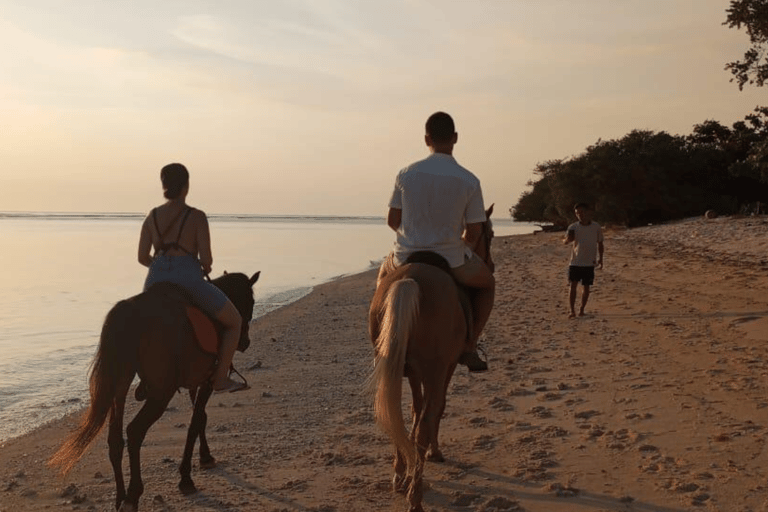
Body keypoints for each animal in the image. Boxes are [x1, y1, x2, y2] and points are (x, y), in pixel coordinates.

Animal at [51, 270, 260, 510]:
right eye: (251, 302)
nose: (245, 342)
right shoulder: (207, 381)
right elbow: (196, 421)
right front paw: (186, 476)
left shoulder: (195, 382)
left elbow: (201, 418)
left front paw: (205, 457)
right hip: (161, 392)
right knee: (135, 431)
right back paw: (133, 495)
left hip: (121, 384)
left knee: (115, 439)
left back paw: (121, 497)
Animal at [368, 205, 496, 512]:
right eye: (490, 234)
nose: (492, 265)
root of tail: (410, 279)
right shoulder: (444, 368)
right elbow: (436, 409)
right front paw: (435, 453)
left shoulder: (416, 373)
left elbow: (415, 410)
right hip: (436, 370)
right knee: (426, 422)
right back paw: (415, 496)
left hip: (394, 366)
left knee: (399, 417)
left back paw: (401, 476)